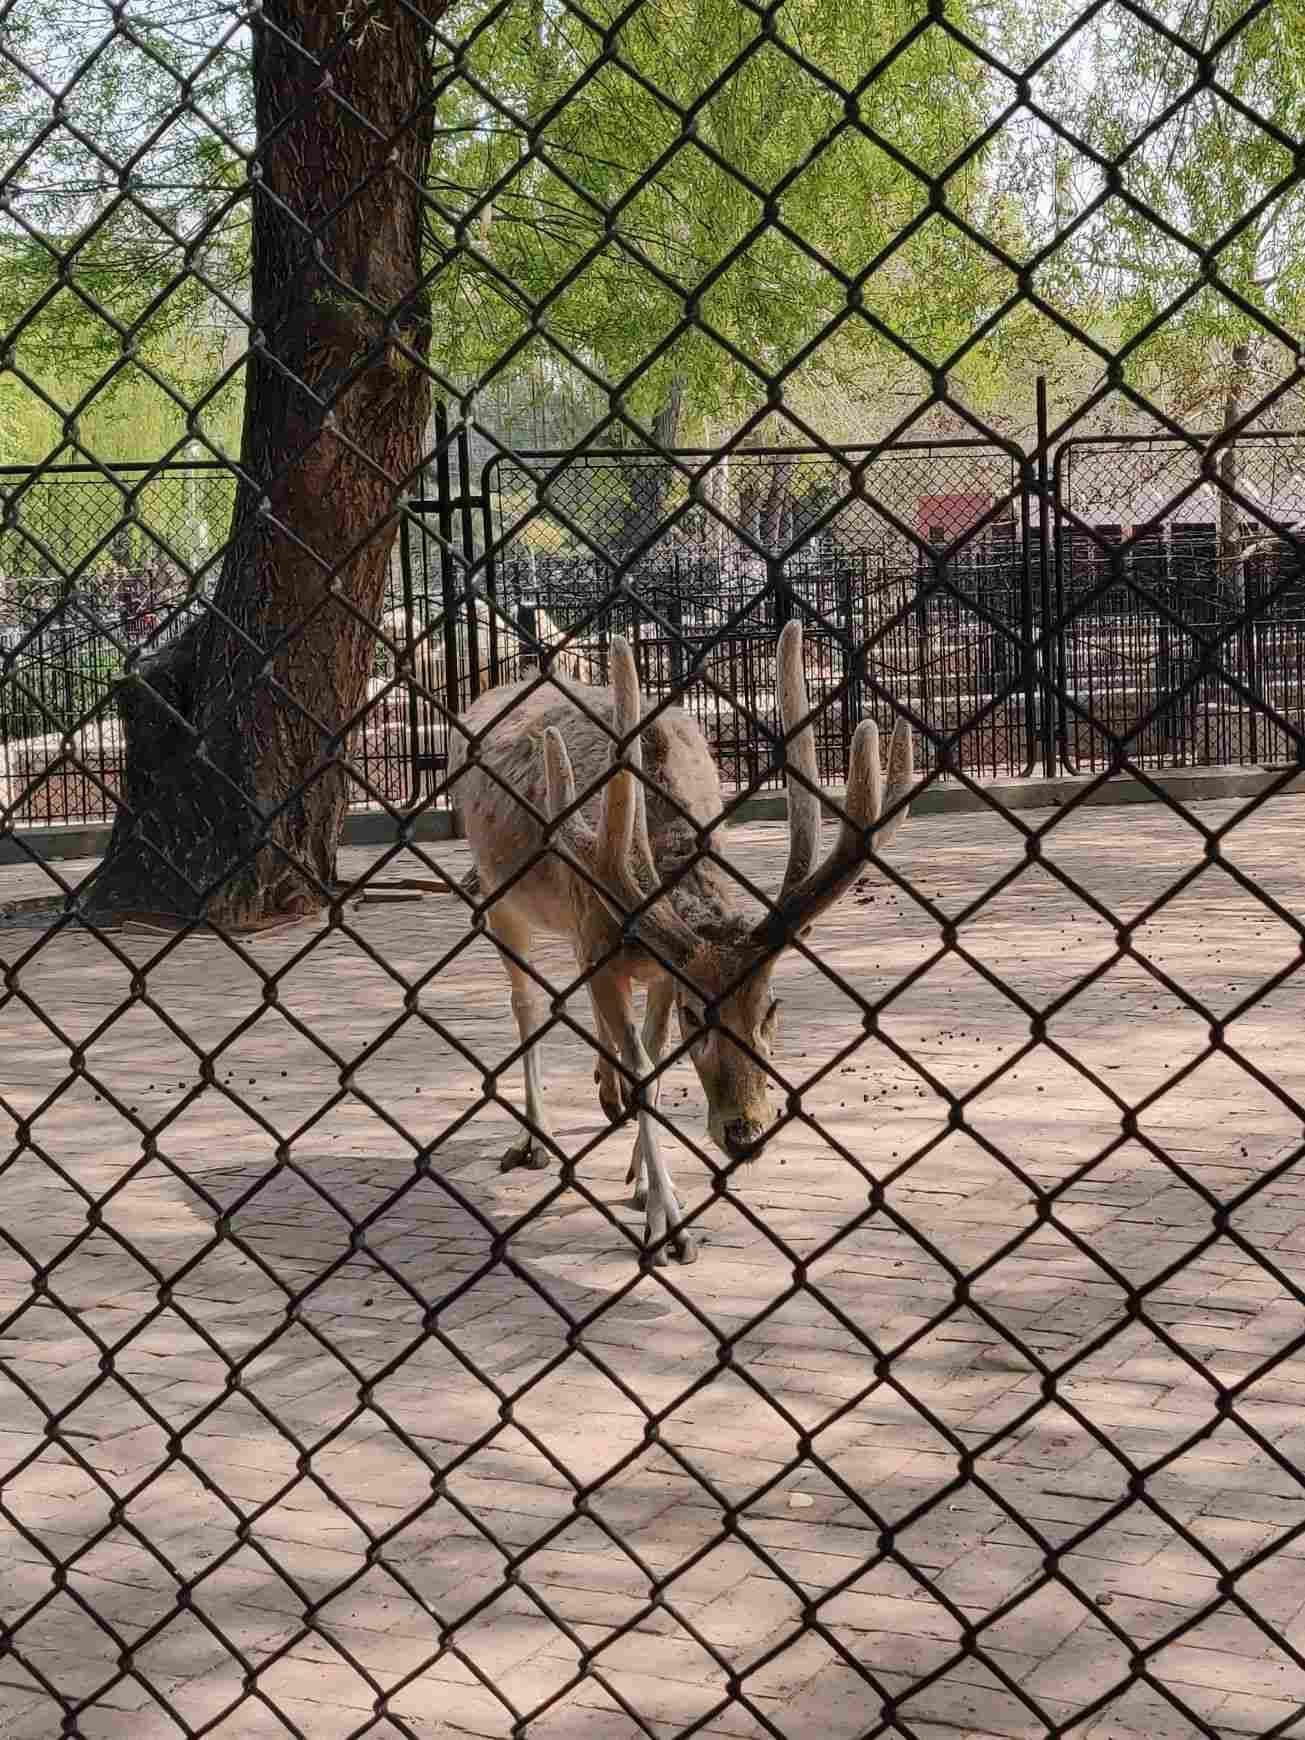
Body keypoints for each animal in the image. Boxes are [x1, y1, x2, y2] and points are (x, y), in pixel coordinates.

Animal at [452, 626, 918, 1266]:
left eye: (770, 1010)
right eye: (701, 1016)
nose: (745, 1135)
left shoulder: (658, 967)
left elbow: (650, 1054)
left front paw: (642, 1183)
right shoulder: (601, 941)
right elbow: (645, 1069)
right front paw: (667, 1225)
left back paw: (604, 1091)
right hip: (499, 891)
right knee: (526, 1003)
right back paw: (535, 1138)